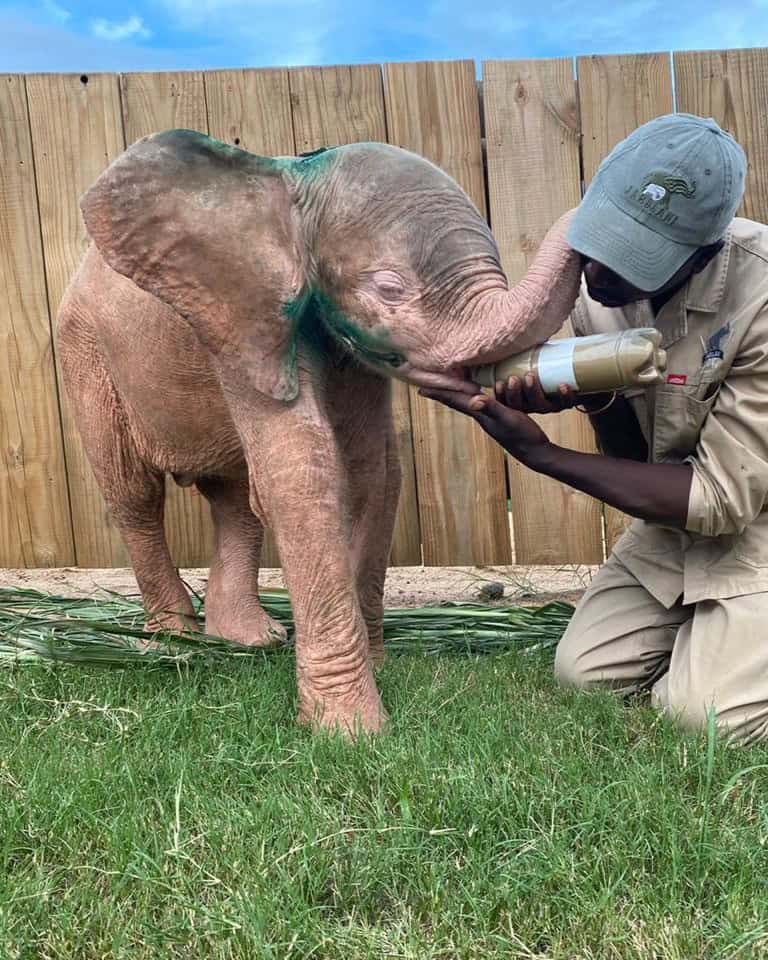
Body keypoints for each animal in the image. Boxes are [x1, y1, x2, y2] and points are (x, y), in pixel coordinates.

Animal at [56, 129, 581, 736]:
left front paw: (374, 671)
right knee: (134, 495)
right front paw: (351, 732)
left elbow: (375, 469)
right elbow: (303, 469)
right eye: (389, 288)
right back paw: (175, 645)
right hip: (85, 355)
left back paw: (249, 640)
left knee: (235, 499)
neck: (292, 185)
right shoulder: (241, 322)